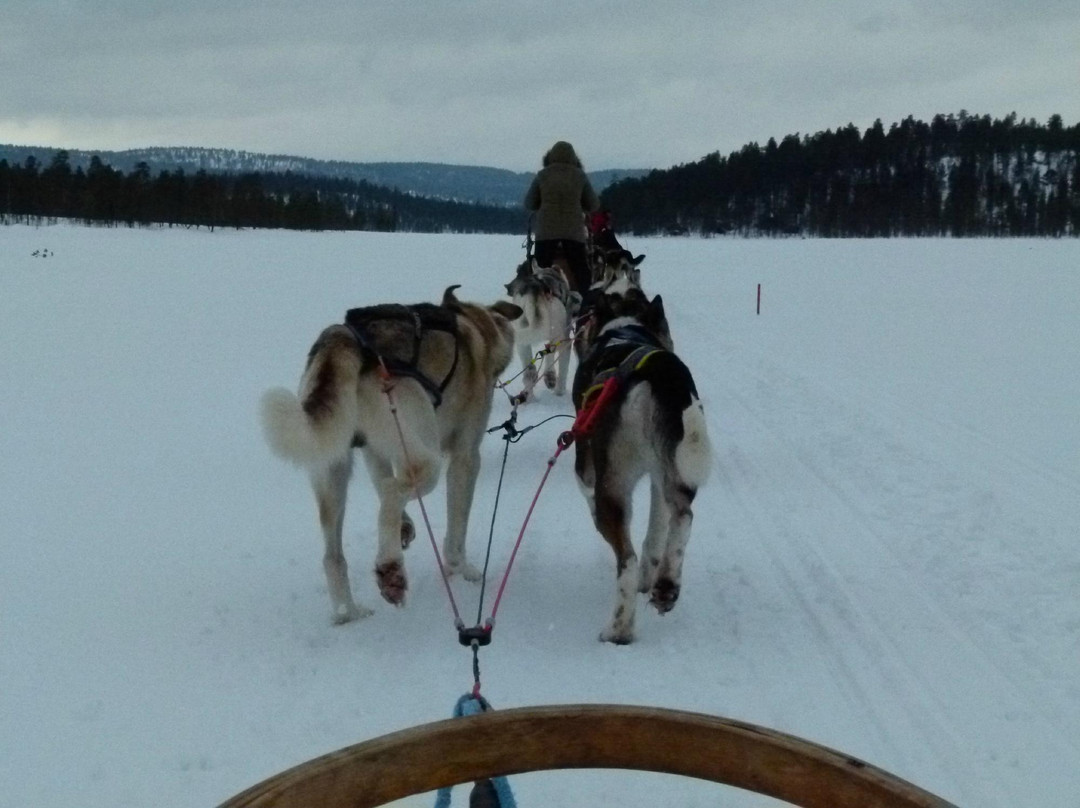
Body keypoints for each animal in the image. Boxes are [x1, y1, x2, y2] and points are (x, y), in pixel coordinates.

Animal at [265, 287, 527, 622]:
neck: (474, 325)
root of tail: (346, 339)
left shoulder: (374, 450)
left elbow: (381, 481)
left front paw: (406, 526)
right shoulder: (466, 457)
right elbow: (456, 527)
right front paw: (462, 569)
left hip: (333, 472)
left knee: (334, 555)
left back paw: (349, 611)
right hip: (426, 459)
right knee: (393, 490)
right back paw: (391, 570)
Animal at [505, 259, 583, 401]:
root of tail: (533, 291)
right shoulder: (564, 340)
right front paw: (556, 386)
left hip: (522, 340)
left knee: (529, 372)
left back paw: (529, 398)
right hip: (557, 331)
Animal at [570, 289, 712, 643]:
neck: (625, 326)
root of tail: (654, 372)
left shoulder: (585, 467)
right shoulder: (659, 478)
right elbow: (656, 531)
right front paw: (653, 575)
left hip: (613, 484)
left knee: (627, 559)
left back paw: (618, 629)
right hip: (675, 471)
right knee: (683, 517)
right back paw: (666, 585)